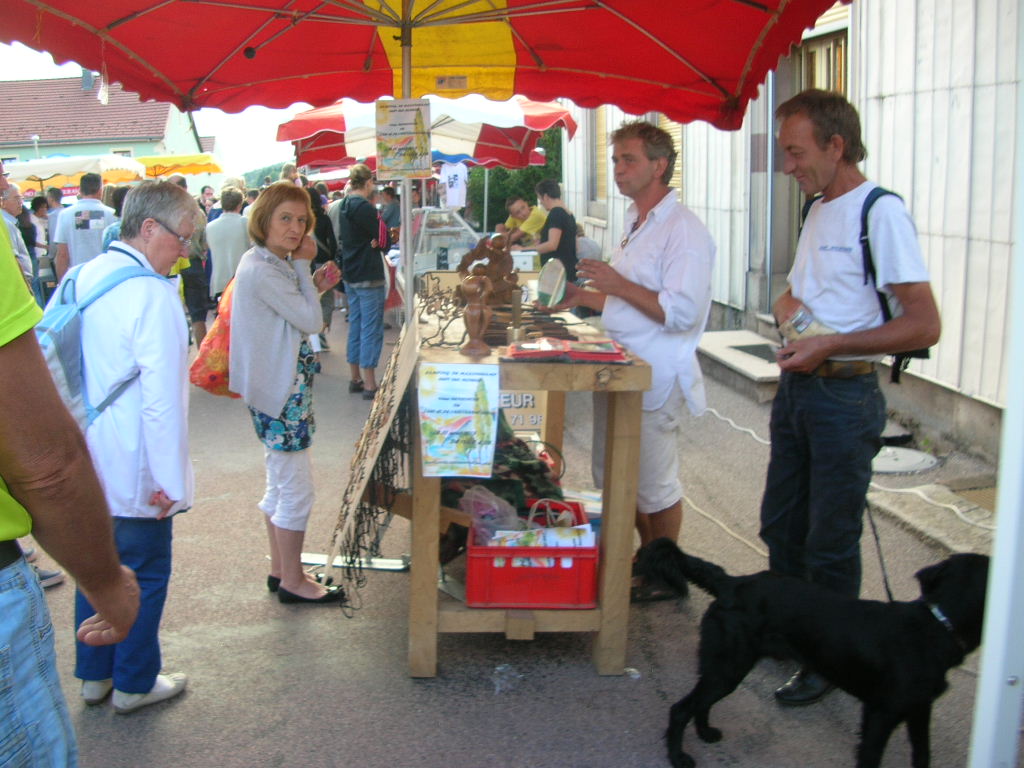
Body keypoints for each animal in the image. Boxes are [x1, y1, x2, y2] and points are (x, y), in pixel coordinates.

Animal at [636, 538, 989, 768]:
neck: (937, 623)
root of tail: (732, 583)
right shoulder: (880, 714)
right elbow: (871, 757)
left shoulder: (919, 710)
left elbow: (923, 755)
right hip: (728, 667)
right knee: (680, 708)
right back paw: (678, 757)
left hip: (723, 667)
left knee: (700, 703)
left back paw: (706, 732)